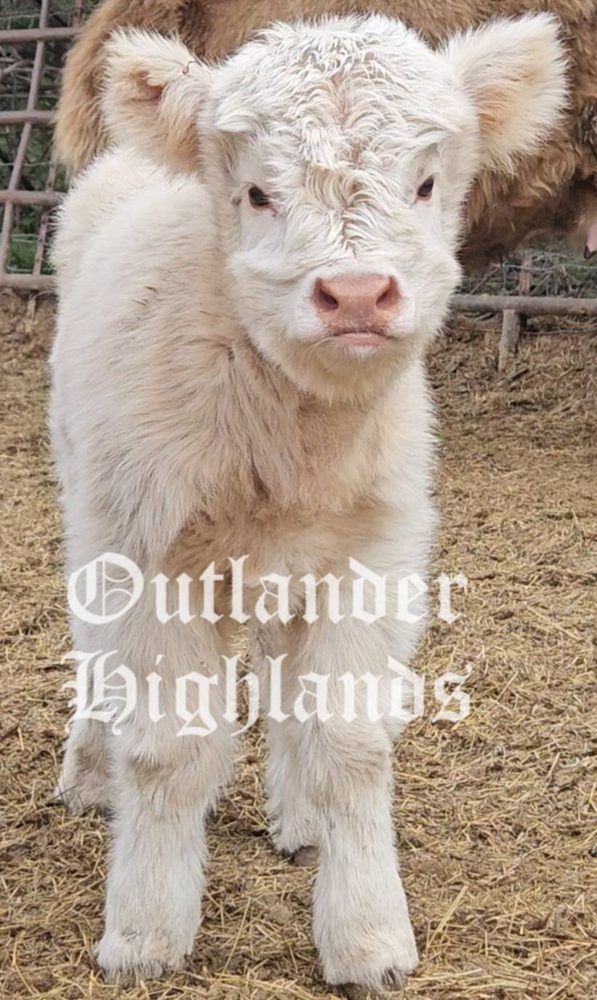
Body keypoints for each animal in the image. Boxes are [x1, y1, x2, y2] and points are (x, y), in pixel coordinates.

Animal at [51, 14, 566, 992]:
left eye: (425, 182)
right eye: (256, 192)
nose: (356, 294)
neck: (289, 441)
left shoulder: (372, 556)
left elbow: (350, 742)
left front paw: (367, 936)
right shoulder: (152, 550)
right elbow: (169, 748)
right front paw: (145, 932)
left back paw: (295, 817)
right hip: (88, 499)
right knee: (100, 650)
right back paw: (91, 772)